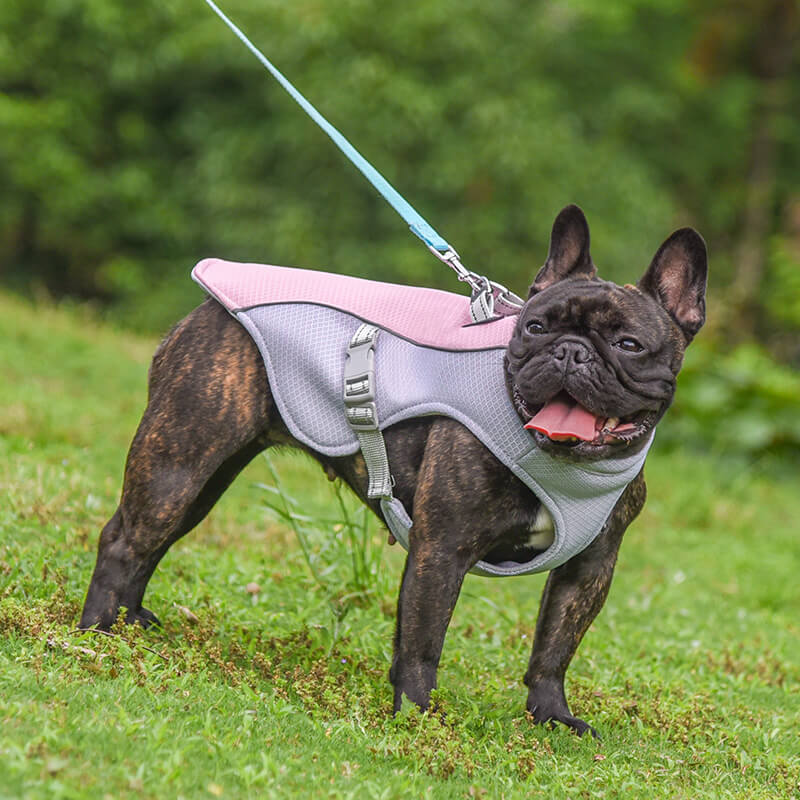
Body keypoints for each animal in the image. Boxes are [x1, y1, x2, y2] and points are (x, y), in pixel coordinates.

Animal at [79, 203, 708, 736]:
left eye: (628, 344)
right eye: (533, 328)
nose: (569, 350)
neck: (559, 459)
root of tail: (212, 295)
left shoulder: (589, 568)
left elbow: (555, 645)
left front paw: (550, 716)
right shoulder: (441, 549)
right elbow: (424, 641)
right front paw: (418, 717)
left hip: (205, 479)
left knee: (152, 540)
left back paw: (129, 622)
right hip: (179, 462)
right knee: (125, 538)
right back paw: (97, 632)